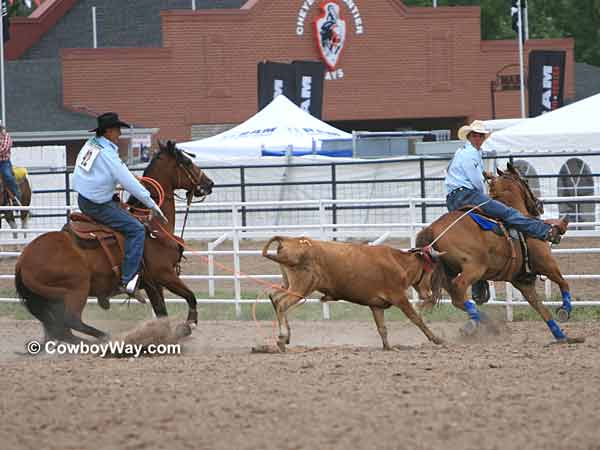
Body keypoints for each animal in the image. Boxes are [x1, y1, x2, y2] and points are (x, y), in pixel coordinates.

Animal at [13, 141, 216, 342]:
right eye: (187, 162)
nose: (209, 183)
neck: (153, 225)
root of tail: (22, 261)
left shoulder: (153, 283)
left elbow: (161, 312)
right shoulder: (164, 274)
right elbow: (190, 296)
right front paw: (188, 325)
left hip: (51, 299)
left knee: (61, 329)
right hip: (76, 289)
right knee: (71, 321)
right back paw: (104, 337)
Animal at [414, 163, 584, 342]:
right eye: (525, 180)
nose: (539, 205)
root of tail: (431, 229)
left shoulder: (523, 282)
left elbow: (542, 309)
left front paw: (561, 337)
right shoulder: (548, 265)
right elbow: (564, 283)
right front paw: (565, 311)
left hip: (447, 274)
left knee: (455, 297)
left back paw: (485, 323)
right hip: (474, 267)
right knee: (459, 290)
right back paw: (476, 322)